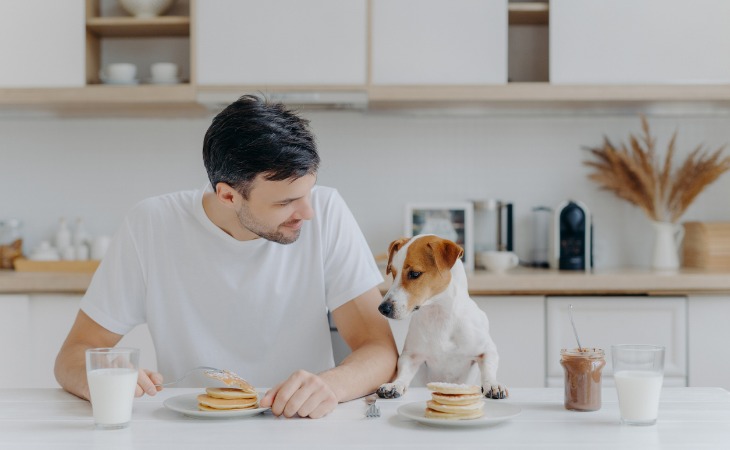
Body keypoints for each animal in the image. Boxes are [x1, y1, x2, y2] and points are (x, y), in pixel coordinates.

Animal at [376, 234, 506, 400]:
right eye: (393, 273)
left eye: (415, 274)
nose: (382, 308)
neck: (439, 315)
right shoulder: (411, 356)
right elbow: (403, 374)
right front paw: (394, 385)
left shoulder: (487, 350)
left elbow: (489, 369)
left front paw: (493, 384)